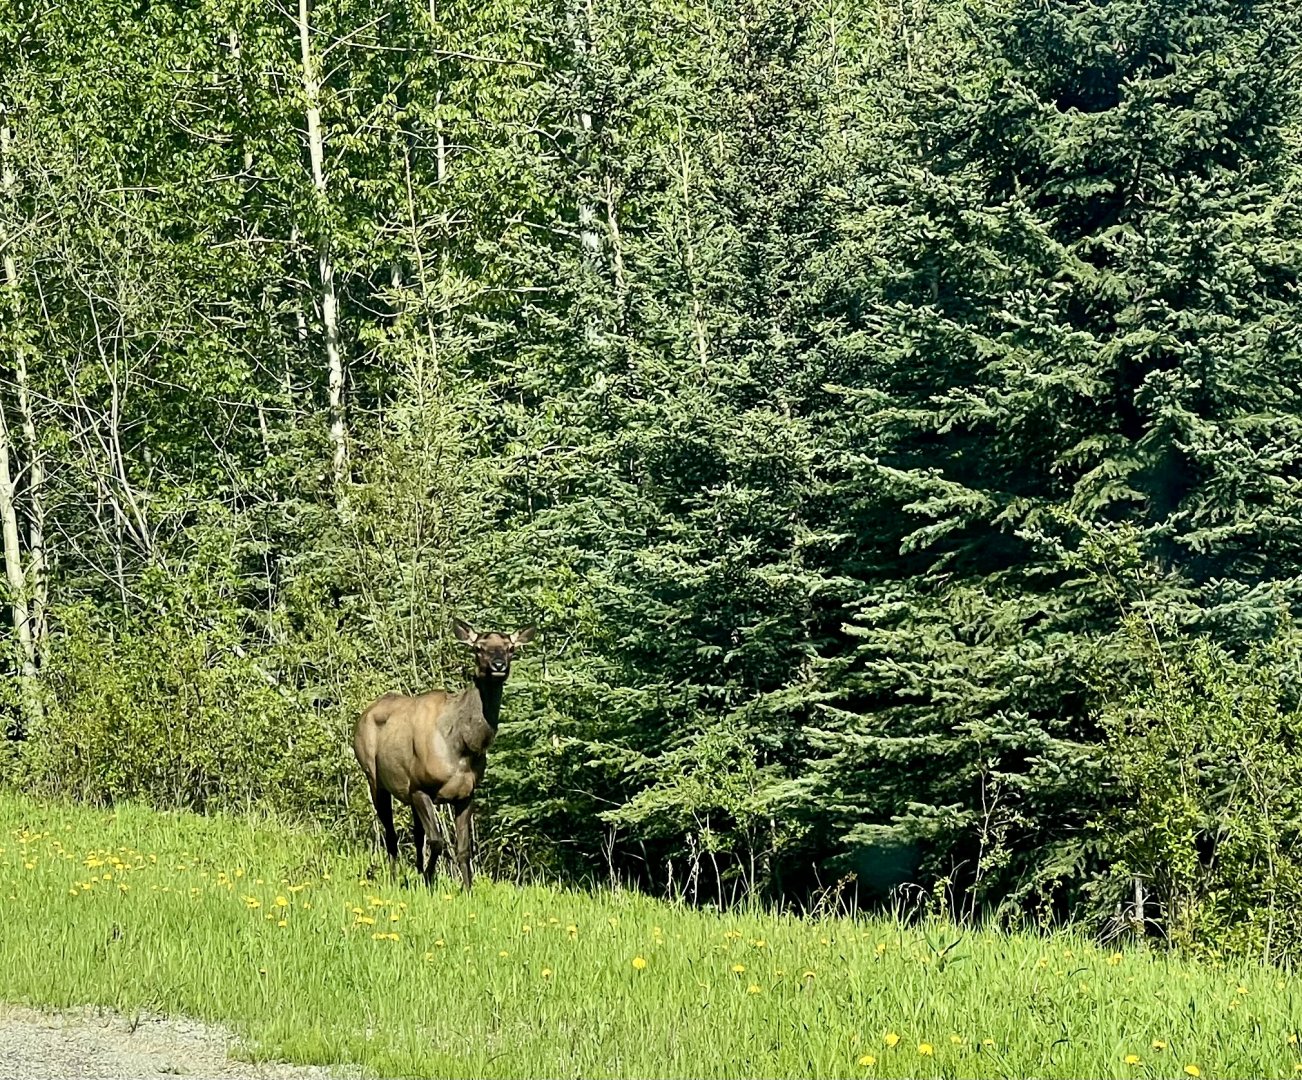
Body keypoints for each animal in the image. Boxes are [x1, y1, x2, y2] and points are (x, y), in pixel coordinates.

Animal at [352, 619, 535, 889]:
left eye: (510, 648)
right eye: (478, 648)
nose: (498, 665)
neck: (463, 747)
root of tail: (364, 714)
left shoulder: (466, 794)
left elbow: (463, 849)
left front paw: (466, 888)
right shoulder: (419, 787)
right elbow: (437, 841)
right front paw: (429, 880)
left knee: (416, 835)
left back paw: (415, 872)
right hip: (374, 777)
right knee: (391, 834)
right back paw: (396, 878)